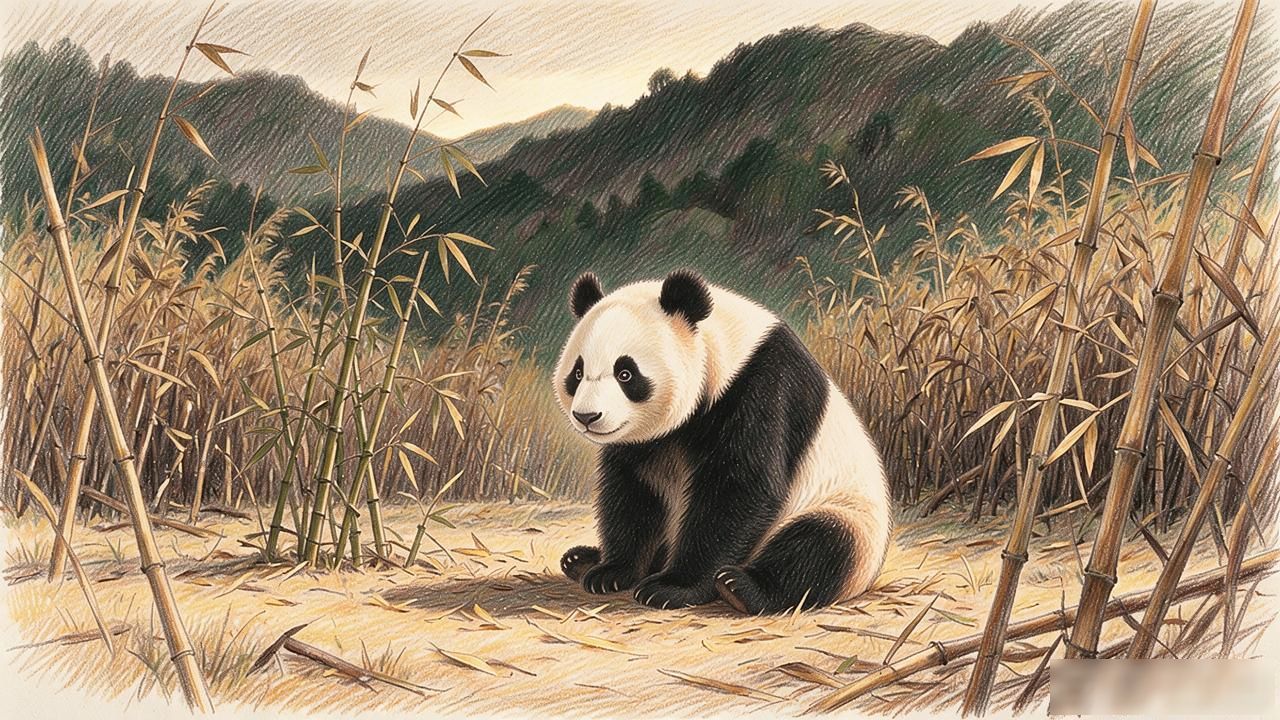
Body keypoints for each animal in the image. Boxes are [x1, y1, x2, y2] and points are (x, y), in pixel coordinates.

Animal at [553, 269, 891, 614]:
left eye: (626, 373)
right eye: (577, 373)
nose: (587, 416)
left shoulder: (761, 388)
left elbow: (740, 487)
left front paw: (673, 587)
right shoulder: (643, 443)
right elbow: (632, 492)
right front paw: (611, 572)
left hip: (847, 513)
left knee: (820, 547)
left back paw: (740, 587)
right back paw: (581, 559)